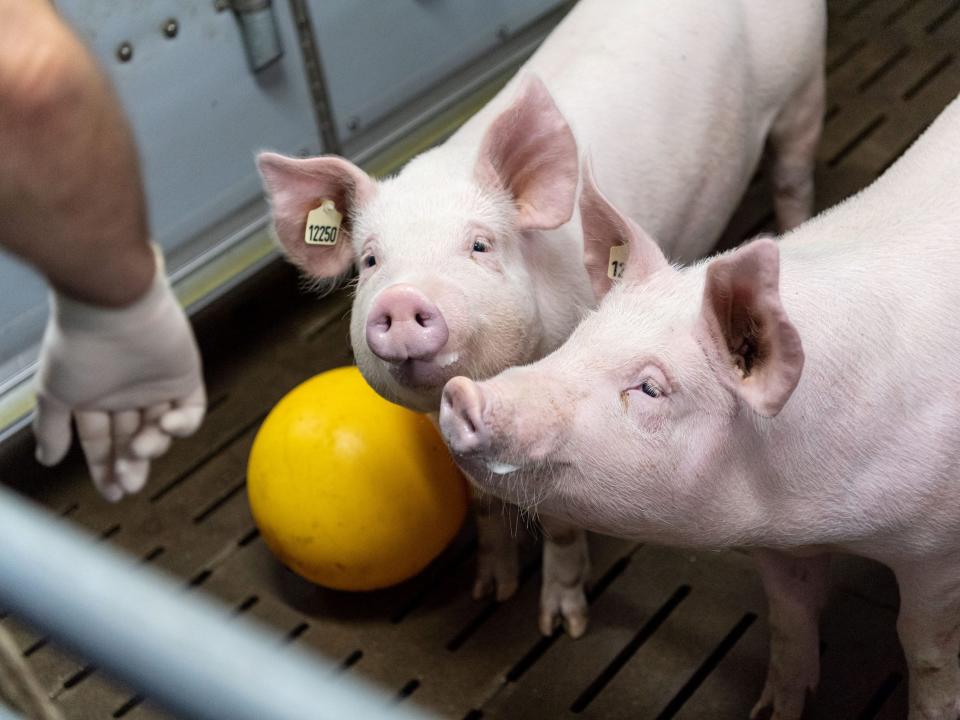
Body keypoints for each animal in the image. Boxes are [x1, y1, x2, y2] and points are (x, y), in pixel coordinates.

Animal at [253, 1, 824, 640]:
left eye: (479, 245)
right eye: (371, 260)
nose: (399, 301)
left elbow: (559, 521)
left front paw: (561, 625)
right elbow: (480, 502)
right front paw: (490, 592)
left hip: (802, 89)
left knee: (793, 175)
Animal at [440, 97, 960, 720]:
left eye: (650, 388)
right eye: (580, 338)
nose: (461, 392)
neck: (806, 503)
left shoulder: (935, 551)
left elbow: (926, 654)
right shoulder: (779, 544)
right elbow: (790, 618)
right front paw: (771, 712)